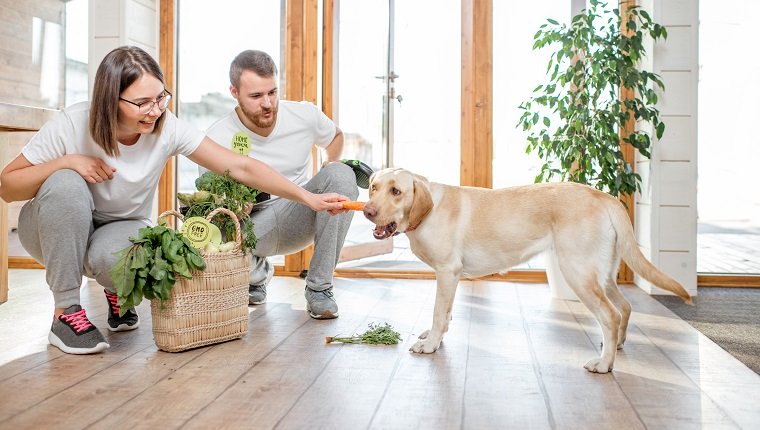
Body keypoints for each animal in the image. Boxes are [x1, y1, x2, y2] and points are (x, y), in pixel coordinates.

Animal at [366, 168, 692, 372]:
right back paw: (616, 348)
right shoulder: (452, 277)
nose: (368, 211)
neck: (428, 212)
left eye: (396, 191)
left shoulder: (447, 272)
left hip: (578, 272)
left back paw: (603, 364)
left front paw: (431, 344)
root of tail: (605, 197)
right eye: (373, 187)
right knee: (624, 306)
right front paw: (437, 337)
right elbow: (445, 315)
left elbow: (438, 312)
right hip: (603, 274)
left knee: (610, 315)